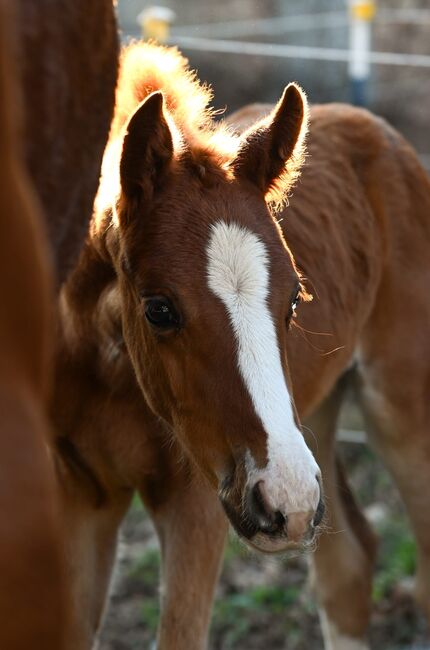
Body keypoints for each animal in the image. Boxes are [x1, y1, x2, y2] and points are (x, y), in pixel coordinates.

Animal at [55, 43, 430, 644]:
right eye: (159, 309)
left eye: (295, 300)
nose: (284, 500)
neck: (108, 371)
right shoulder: (80, 497)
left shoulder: (197, 504)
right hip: (311, 419)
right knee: (347, 566)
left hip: (391, 413)